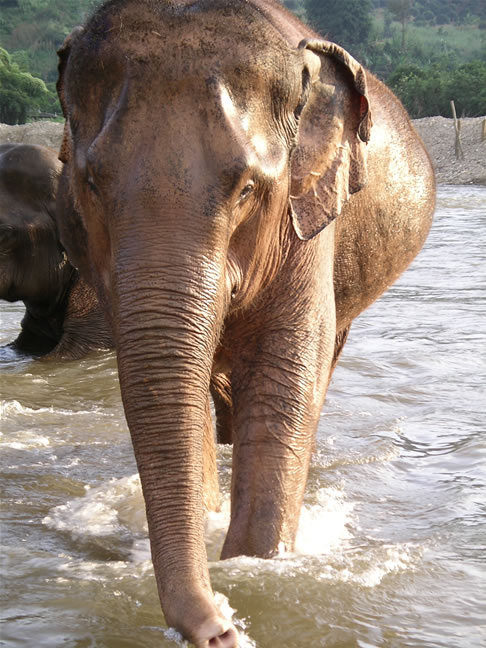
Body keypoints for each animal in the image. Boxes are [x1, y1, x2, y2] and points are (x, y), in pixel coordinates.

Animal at [55, 1, 435, 645]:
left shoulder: (307, 217)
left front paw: (258, 566)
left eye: (248, 189)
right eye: (91, 184)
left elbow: (286, 378)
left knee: (320, 367)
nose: (222, 630)